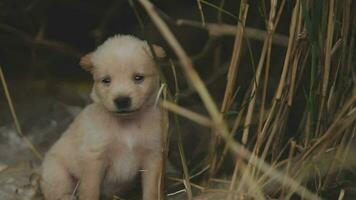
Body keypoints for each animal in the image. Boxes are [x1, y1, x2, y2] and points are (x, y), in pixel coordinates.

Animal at [41, 35, 166, 200]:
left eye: (138, 78)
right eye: (106, 80)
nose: (122, 100)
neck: (127, 124)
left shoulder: (153, 157)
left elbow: (152, 190)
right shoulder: (94, 158)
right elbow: (90, 190)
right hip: (56, 173)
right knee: (59, 192)